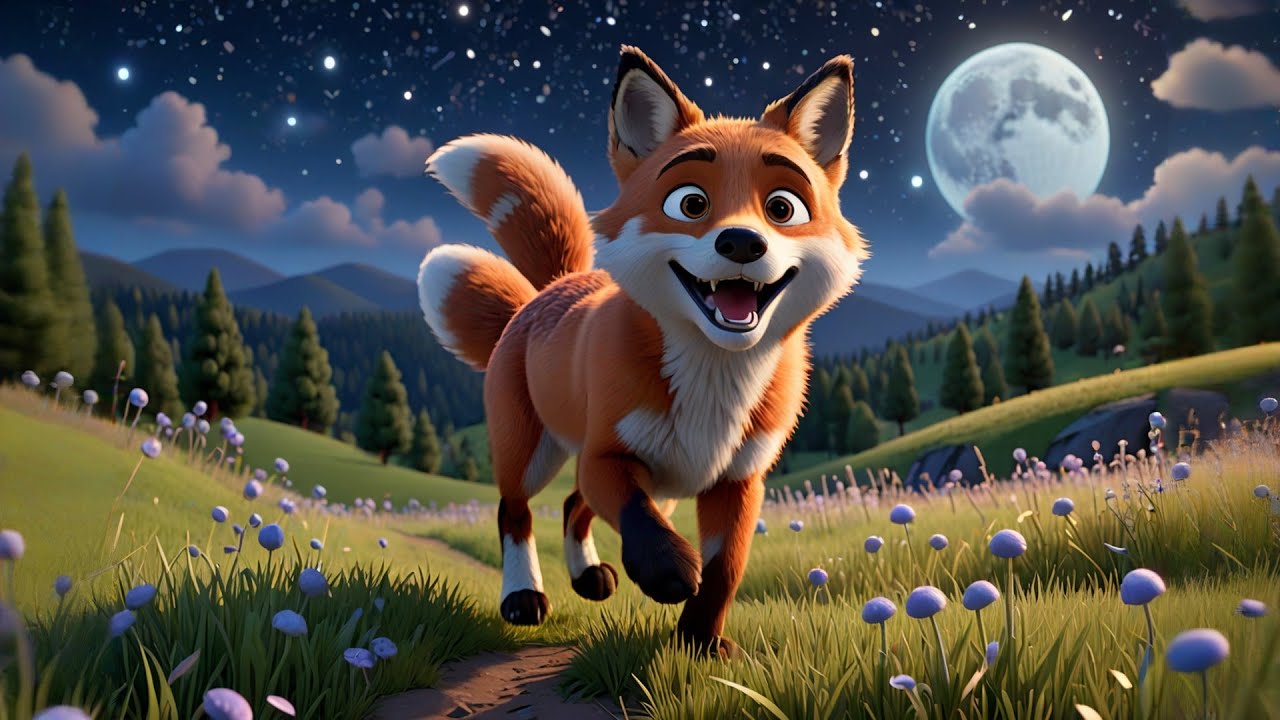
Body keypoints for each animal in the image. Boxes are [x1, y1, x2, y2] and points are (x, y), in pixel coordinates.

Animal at [416, 45, 867, 657]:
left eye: (782, 208)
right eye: (691, 203)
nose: (742, 243)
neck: (713, 381)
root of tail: (552, 287)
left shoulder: (738, 482)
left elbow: (725, 570)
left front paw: (700, 643)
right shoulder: (608, 456)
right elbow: (638, 518)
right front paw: (667, 571)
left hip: (658, 482)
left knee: (571, 505)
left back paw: (587, 576)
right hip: (532, 451)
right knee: (516, 511)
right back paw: (523, 596)